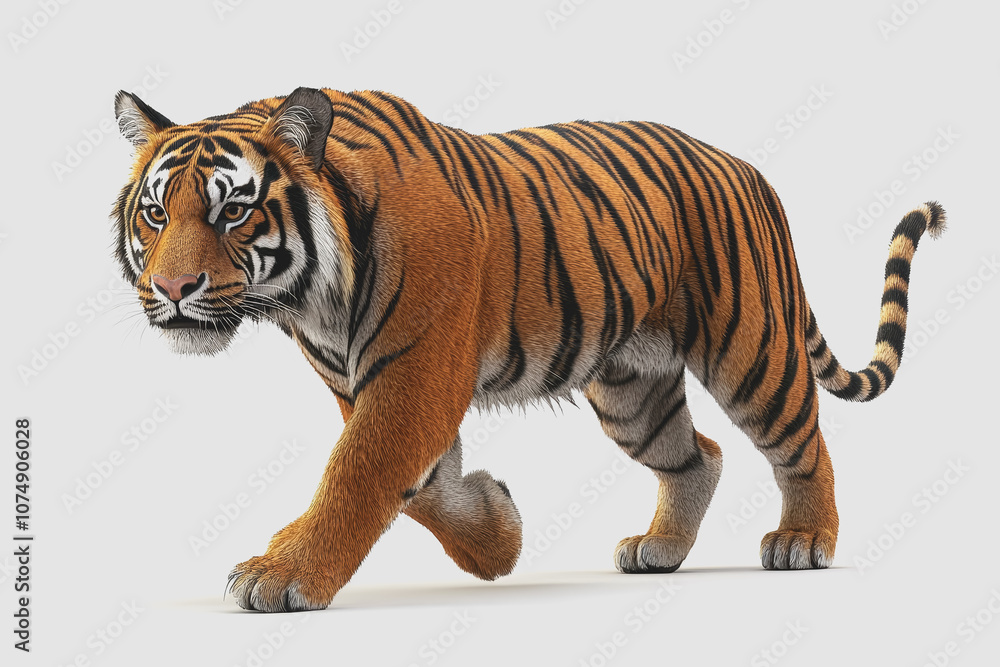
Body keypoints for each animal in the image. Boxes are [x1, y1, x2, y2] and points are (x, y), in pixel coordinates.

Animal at [111, 86, 945, 612]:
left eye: (233, 211)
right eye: (155, 213)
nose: (174, 288)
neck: (307, 298)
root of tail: (752, 171)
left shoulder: (414, 375)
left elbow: (358, 473)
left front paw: (282, 574)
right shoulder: (366, 382)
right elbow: (417, 484)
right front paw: (498, 534)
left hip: (753, 349)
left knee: (802, 443)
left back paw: (804, 539)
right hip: (631, 389)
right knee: (697, 454)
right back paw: (660, 546)